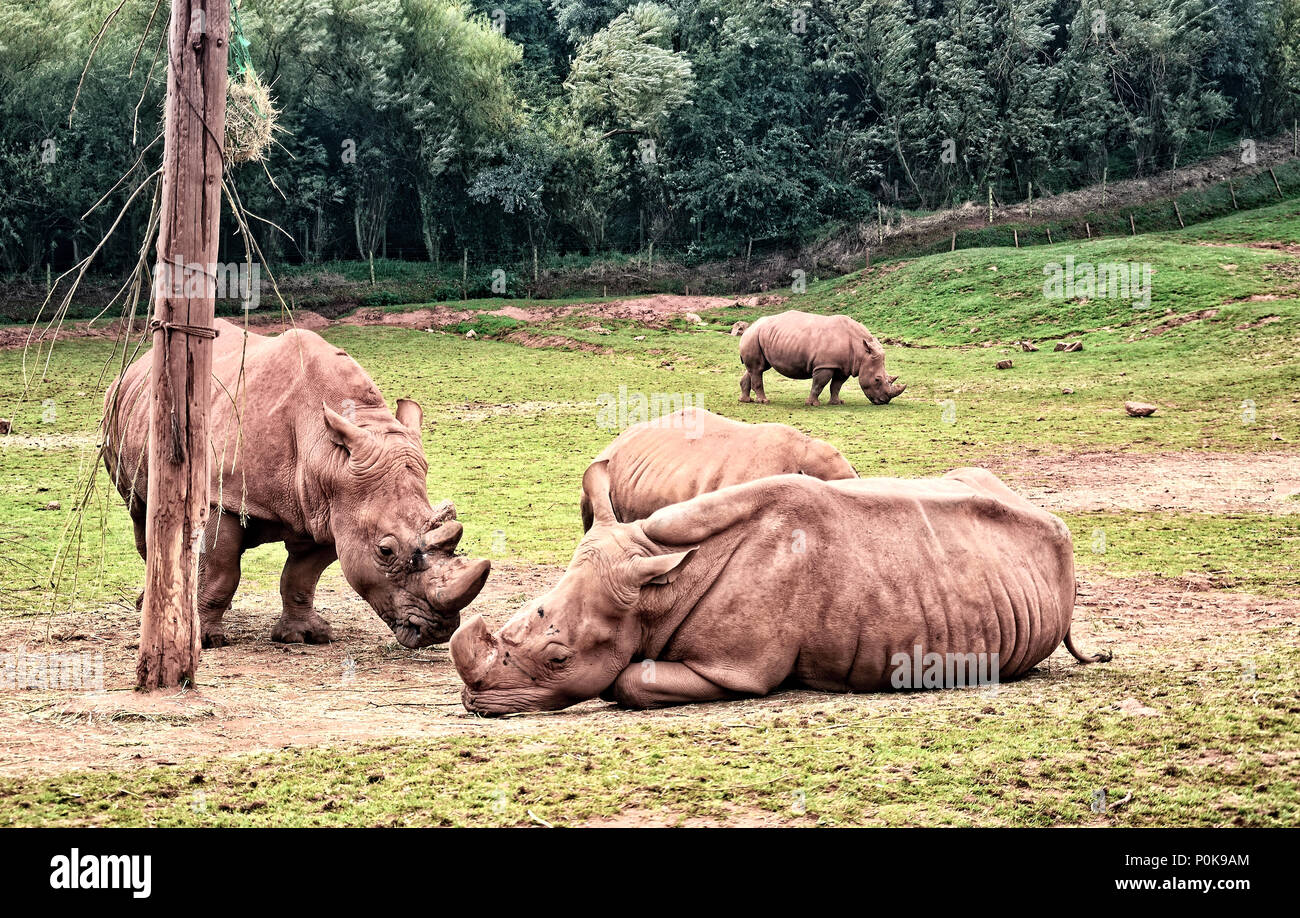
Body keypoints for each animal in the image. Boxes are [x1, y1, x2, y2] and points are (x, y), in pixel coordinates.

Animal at [104, 318, 488, 647]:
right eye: (385, 551)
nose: (438, 631)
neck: (329, 453)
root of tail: (138, 363)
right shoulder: (223, 497)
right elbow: (221, 570)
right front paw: (204, 640)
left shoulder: (330, 511)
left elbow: (301, 576)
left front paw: (305, 636)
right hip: (119, 409)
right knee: (141, 513)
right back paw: (154, 608)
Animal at [738, 309, 909, 403]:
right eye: (877, 380)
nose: (884, 401)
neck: (862, 351)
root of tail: (750, 326)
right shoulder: (825, 364)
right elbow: (819, 384)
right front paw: (813, 404)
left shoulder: (843, 366)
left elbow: (836, 385)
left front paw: (837, 402)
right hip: (754, 335)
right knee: (758, 369)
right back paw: (764, 401)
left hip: (760, 336)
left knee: (756, 368)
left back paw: (746, 400)